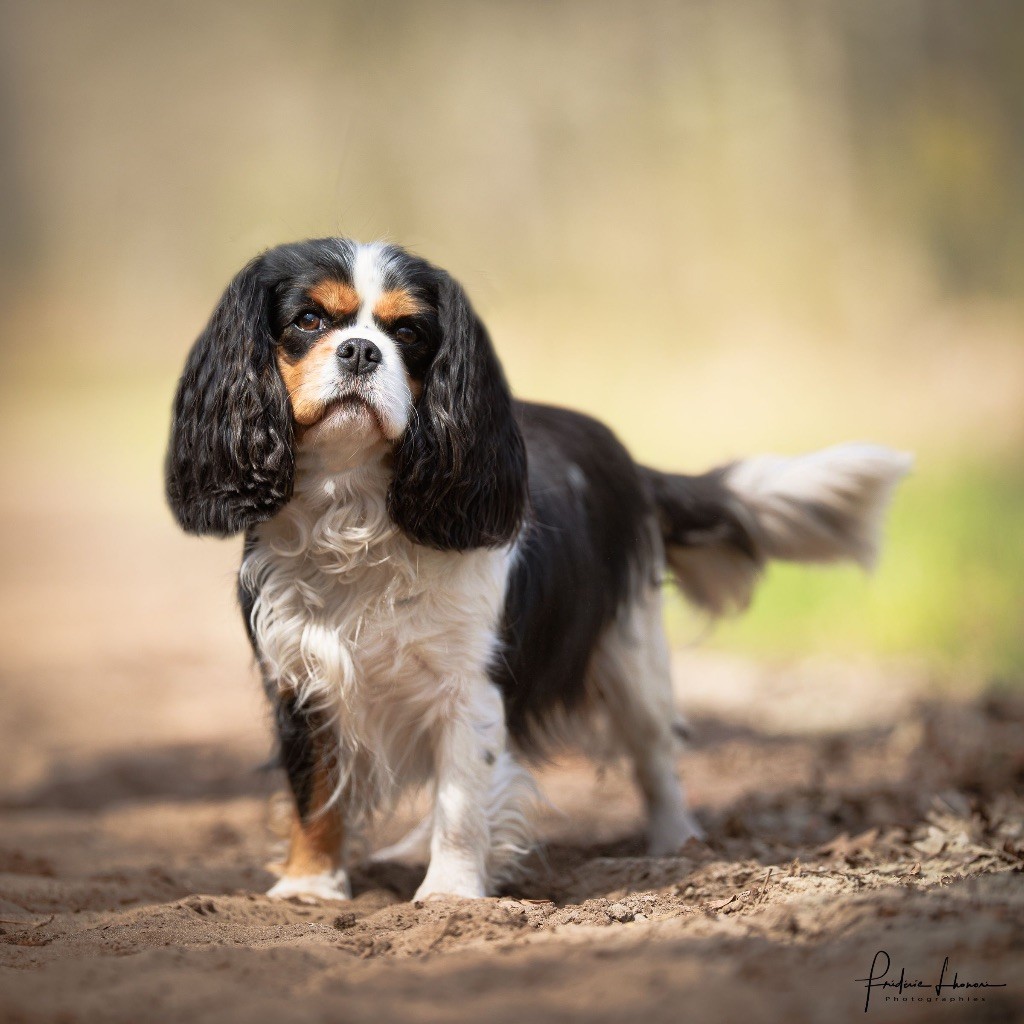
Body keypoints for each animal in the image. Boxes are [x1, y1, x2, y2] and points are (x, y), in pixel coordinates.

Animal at [167, 235, 913, 901]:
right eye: (309, 321)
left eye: (409, 332)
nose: (360, 349)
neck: (354, 507)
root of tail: (630, 461)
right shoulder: (300, 677)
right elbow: (314, 790)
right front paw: (310, 885)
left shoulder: (471, 685)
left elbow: (463, 799)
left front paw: (450, 894)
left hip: (633, 656)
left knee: (656, 758)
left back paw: (677, 843)